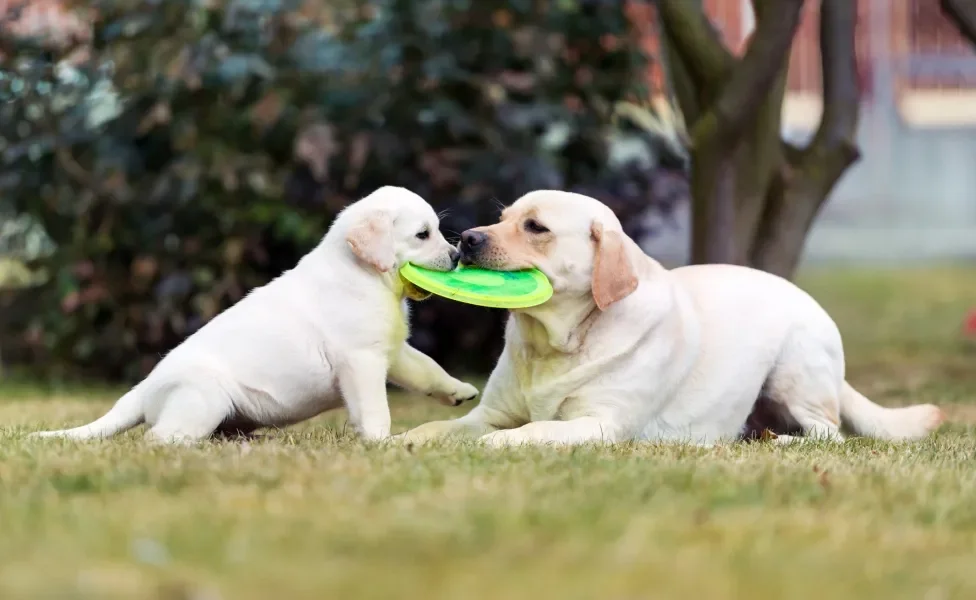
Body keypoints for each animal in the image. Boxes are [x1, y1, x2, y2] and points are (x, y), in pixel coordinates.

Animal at [33, 188, 480, 446]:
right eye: (423, 235)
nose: (456, 256)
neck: (363, 274)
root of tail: (141, 391)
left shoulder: (393, 351)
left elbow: (427, 368)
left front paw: (458, 390)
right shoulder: (361, 361)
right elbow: (375, 409)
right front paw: (382, 442)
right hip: (205, 397)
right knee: (159, 437)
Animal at [398, 190, 944, 448]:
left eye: (535, 227)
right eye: (503, 217)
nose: (468, 238)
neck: (555, 343)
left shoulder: (602, 424)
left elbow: (529, 432)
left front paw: (501, 444)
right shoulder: (487, 412)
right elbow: (438, 428)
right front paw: (403, 440)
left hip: (796, 371)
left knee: (828, 434)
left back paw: (781, 439)